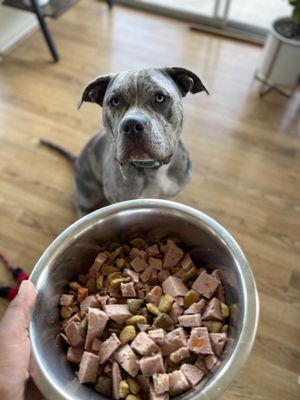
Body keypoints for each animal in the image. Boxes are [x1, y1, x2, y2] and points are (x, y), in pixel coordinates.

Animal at [41, 68, 207, 216]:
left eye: (160, 98)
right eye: (114, 101)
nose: (132, 125)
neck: (153, 168)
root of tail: (77, 161)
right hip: (89, 194)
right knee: (81, 203)